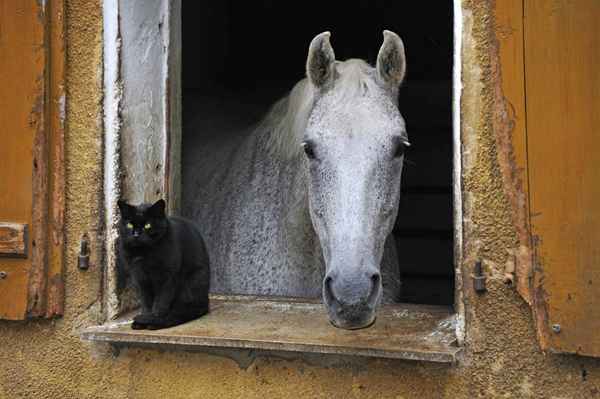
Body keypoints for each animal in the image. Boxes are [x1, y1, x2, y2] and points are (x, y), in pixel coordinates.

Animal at [118, 198, 211, 330]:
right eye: (129, 224)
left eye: (148, 225)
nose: (136, 234)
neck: (144, 252)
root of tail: (206, 302)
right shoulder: (140, 278)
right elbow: (146, 301)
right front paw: (144, 319)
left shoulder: (167, 277)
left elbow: (161, 302)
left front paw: (153, 320)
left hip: (192, 283)